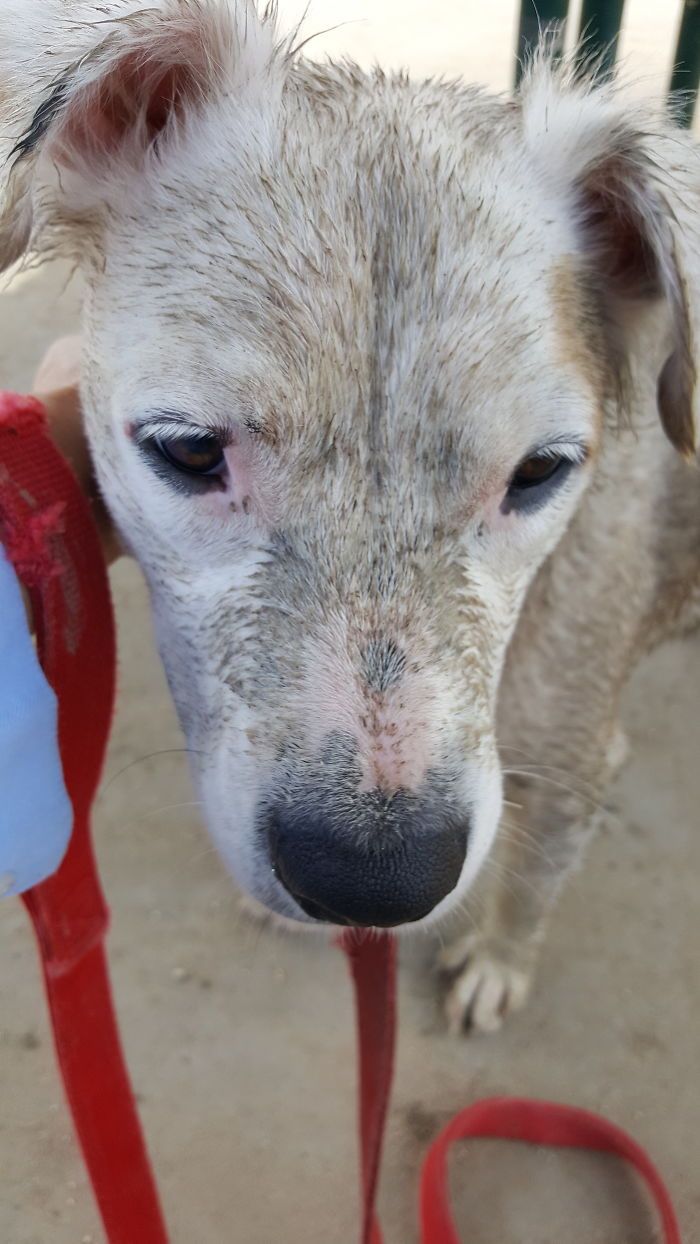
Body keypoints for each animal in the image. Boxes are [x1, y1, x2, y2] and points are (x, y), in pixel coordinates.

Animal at [2, 0, 696, 1035]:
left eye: (541, 471)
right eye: (188, 449)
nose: (375, 884)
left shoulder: (577, 757)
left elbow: (534, 880)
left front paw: (497, 961)